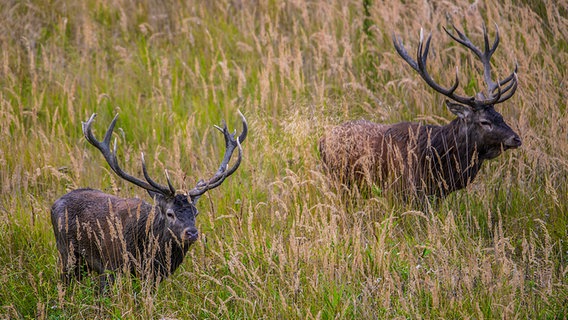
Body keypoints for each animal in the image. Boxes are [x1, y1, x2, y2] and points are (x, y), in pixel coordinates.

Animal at [52, 112, 247, 288]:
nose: (191, 233)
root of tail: (54, 205)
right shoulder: (111, 267)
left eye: (196, 212)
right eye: (170, 214)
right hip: (66, 254)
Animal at [318, 24, 520, 202]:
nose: (516, 138)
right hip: (338, 181)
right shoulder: (407, 190)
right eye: (484, 121)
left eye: (500, 116)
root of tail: (321, 141)